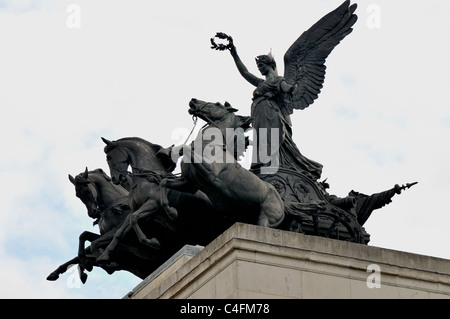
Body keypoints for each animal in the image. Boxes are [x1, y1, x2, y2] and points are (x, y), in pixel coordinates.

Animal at [158, 99, 284, 229]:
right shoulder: (189, 184)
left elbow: (186, 148)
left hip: (266, 217)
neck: (209, 145)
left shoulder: (210, 172)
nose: (193, 100)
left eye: (218, 104)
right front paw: (172, 212)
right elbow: (164, 183)